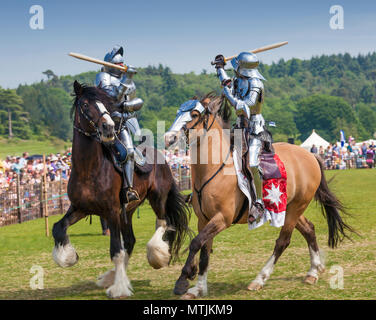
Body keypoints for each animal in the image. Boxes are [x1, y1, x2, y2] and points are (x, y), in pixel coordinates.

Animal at [52, 81, 191, 298]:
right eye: (85, 105)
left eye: (105, 105)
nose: (108, 127)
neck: (89, 169)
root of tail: (161, 156)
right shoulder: (80, 208)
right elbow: (58, 227)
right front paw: (68, 257)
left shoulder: (111, 212)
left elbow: (116, 251)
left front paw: (119, 289)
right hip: (128, 211)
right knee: (131, 241)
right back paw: (113, 277)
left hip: (157, 199)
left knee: (164, 223)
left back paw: (156, 256)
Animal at [165, 94, 356, 298]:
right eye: (177, 112)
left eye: (194, 114)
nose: (169, 138)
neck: (215, 169)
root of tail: (310, 156)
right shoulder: (204, 220)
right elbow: (204, 252)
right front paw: (198, 288)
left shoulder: (221, 219)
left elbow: (195, 243)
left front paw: (183, 279)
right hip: (290, 209)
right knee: (309, 229)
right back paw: (313, 271)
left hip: (296, 208)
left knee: (282, 242)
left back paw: (259, 279)